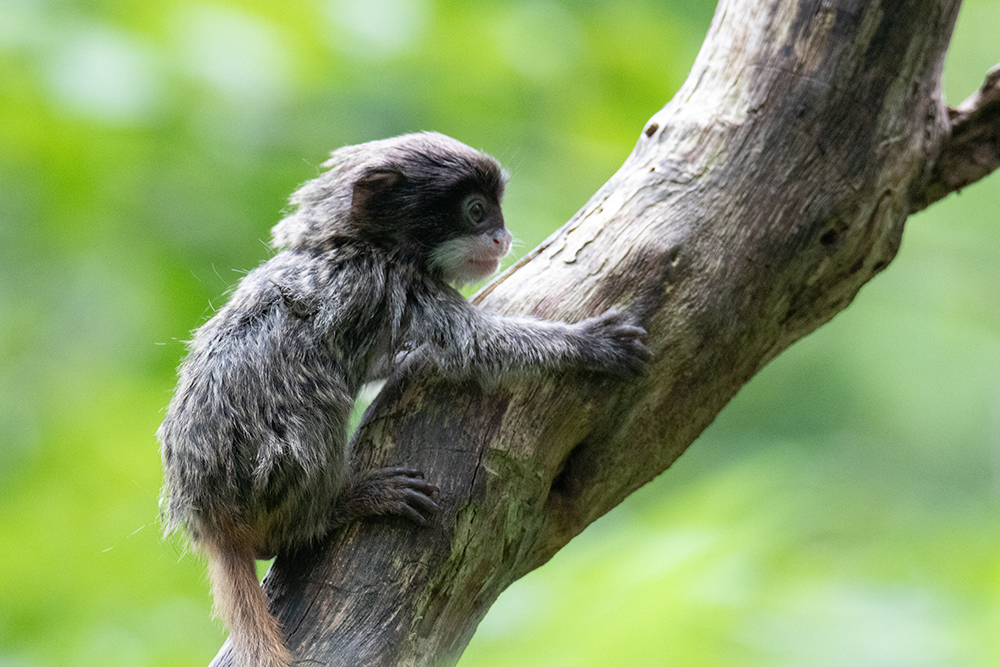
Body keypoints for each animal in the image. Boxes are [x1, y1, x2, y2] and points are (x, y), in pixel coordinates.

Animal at [158, 132, 648, 667]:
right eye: (477, 212)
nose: (502, 238)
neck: (356, 244)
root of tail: (209, 516)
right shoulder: (400, 286)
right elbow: (476, 349)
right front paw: (589, 345)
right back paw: (341, 506)